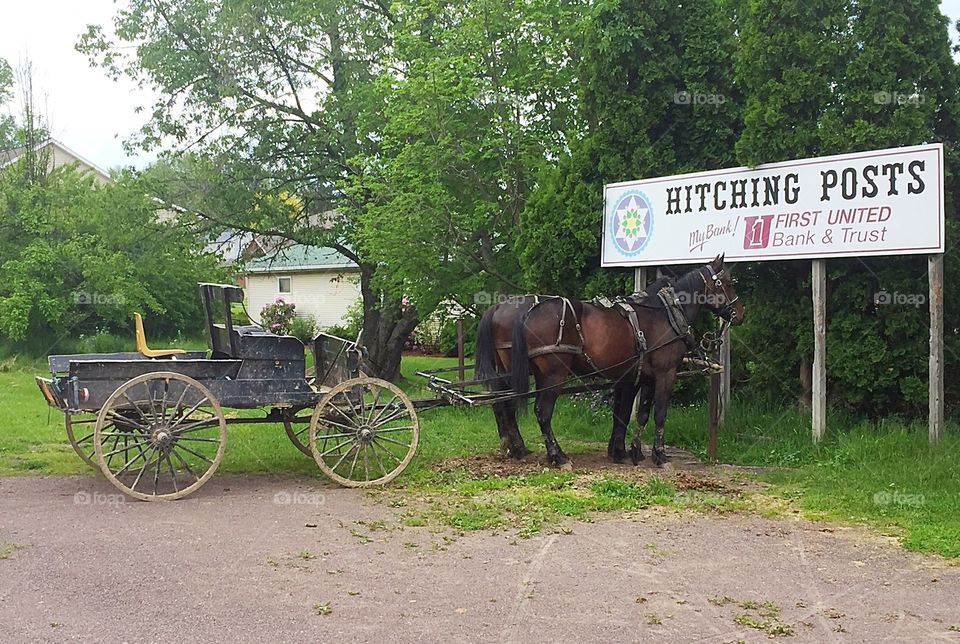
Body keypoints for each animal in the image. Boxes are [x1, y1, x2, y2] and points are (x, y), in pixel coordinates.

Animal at [472, 255, 744, 468]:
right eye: (727, 283)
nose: (740, 313)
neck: (665, 314)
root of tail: (501, 308)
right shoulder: (665, 373)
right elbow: (659, 413)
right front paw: (659, 455)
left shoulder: (637, 377)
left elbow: (631, 413)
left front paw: (626, 452)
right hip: (553, 374)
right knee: (541, 411)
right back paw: (557, 457)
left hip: (518, 372)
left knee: (503, 405)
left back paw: (517, 448)